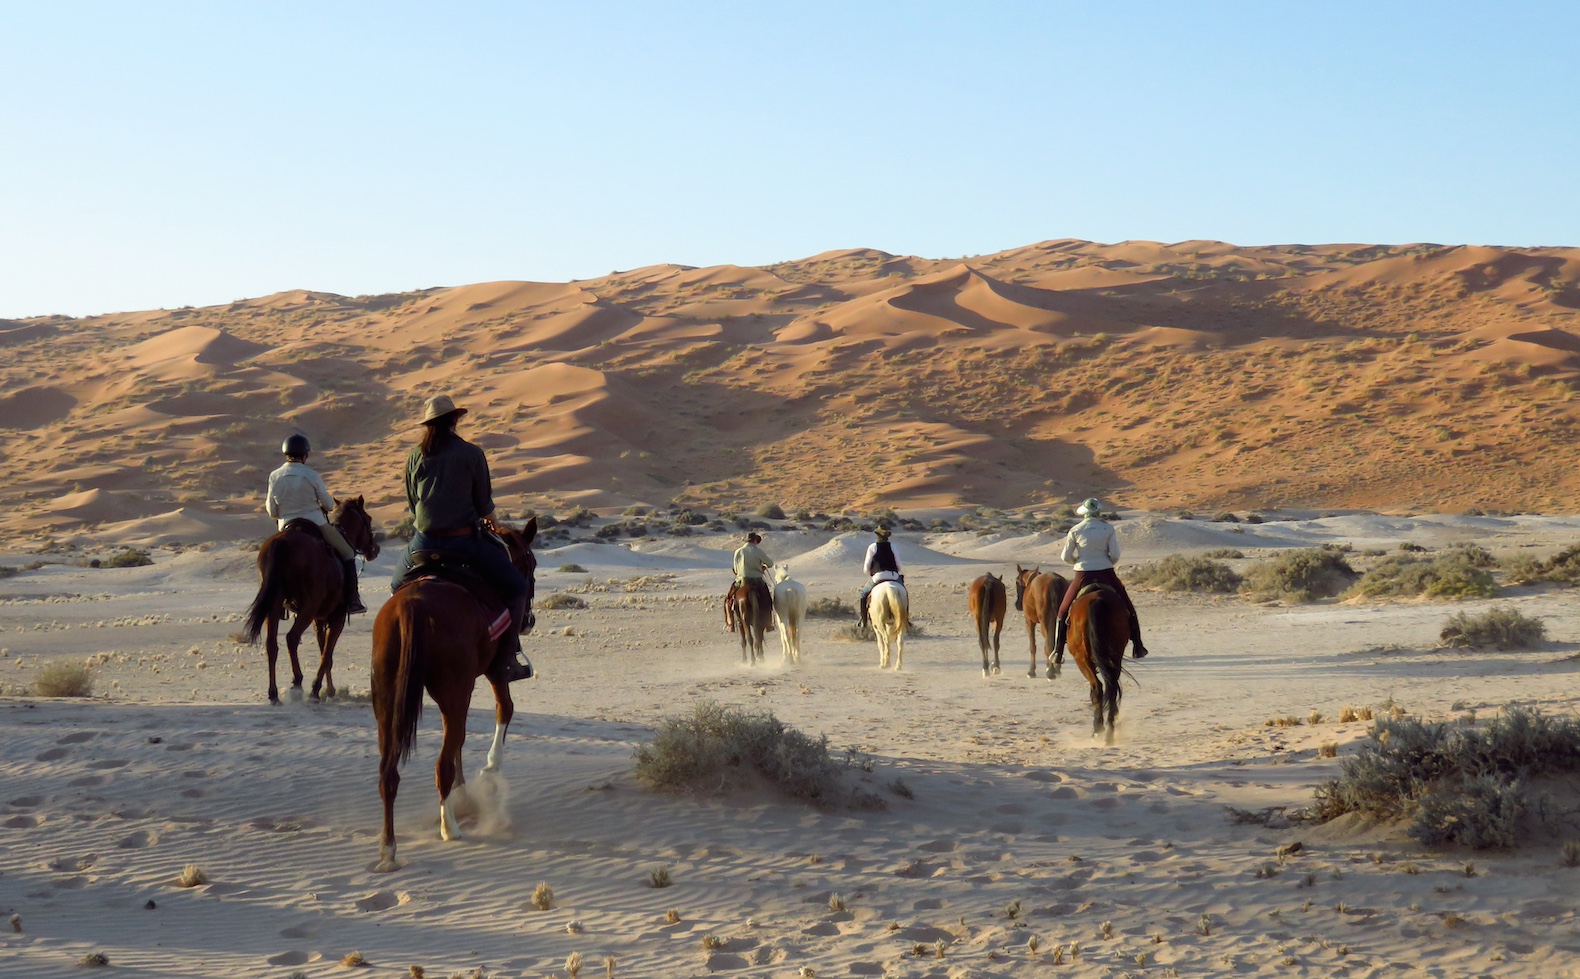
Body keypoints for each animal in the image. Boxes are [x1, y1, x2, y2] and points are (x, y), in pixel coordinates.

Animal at [246, 495, 382, 704]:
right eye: (368, 518)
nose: (374, 549)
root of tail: (282, 543)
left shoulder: (319, 619)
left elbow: (323, 651)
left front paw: (329, 689)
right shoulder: (336, 618)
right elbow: (327, 654)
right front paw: (317, 690)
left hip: (275, 604)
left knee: (271, 644)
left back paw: (274, 694)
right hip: (307, 609)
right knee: (292, 638)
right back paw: (297, 683)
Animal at [369, 521, 537, 871]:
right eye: (531, 564)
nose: (528, 621)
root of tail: (413, 605)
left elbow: (460, 738)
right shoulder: (493, 672)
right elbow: (505, 709)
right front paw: (490, 770)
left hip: (387, 701)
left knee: (388, 773)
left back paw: (388, 848)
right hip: (453, 690)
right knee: (441, 764)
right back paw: (451, 829)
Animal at [1068, 581, 1131, 742]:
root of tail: (1097, 600)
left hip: (1081, 659)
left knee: (1097, 687)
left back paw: (1099, 730)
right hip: (1115, 655)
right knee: (1112, 687)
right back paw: (1109, 731)